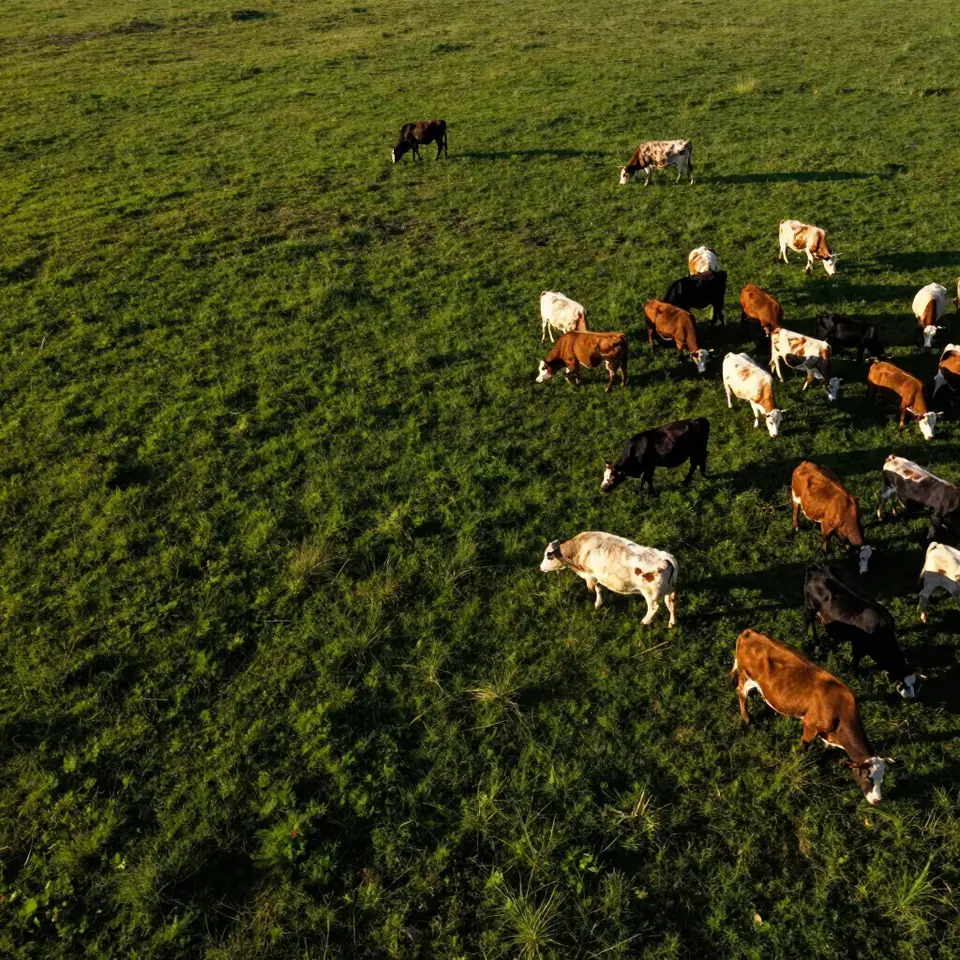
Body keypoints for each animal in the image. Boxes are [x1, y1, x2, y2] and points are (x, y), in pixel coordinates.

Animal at [539, 533, 678, 626]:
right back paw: (672, 623)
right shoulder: (597, 577)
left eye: (548, 556)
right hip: (670, 590)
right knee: (671, 603)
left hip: (650, 595)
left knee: (654, 608)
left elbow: (592, 592)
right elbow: (599, 590)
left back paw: (644, 622)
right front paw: (599, 604)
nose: (540, 567)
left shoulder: (590, 576)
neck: (578, 548)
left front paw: (593, 606)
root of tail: (666, 558)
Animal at [729, 629, 887, 805]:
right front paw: (798, 762)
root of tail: (750, 632)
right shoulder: (810, 725)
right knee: (741, 693)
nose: (878, 800)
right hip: (746, 676)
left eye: (882, 779)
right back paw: (747, 719)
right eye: (867, 777)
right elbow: (804, 747)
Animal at [803, 564, 921, 699]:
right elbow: (855, 661)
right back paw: (814, 641)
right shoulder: (858, 646)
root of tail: (817, 567)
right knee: (809, 622)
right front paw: (854, 677)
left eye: (915, 683)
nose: (913, 698)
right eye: (903, 685)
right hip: (810, 607)